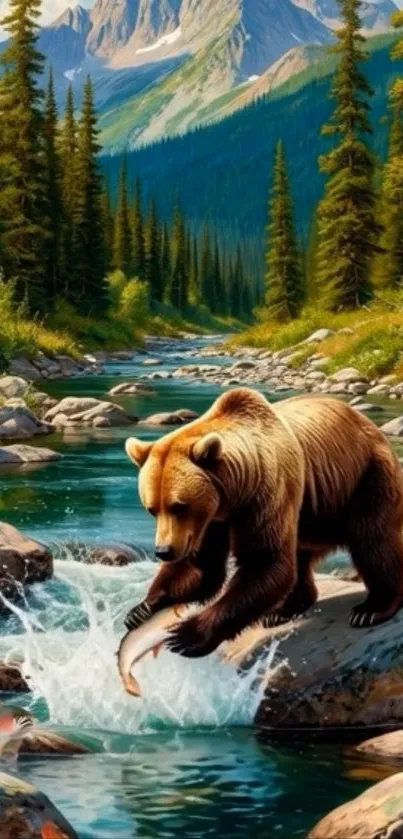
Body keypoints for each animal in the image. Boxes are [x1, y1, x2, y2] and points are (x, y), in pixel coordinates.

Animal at [124, 387, 403, 658]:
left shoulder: (265, 494)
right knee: (301, 554)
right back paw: (283, 610)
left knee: (372, 542)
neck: (232, 494)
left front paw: (186, 635)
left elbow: (265, 562)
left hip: (365, 478)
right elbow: (204, 569)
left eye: (179, 506)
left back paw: (371, 609)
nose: (163, 551)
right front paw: (142, 608)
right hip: (312, 511)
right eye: (152, 508)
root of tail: (369, 426)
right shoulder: (210, 520)